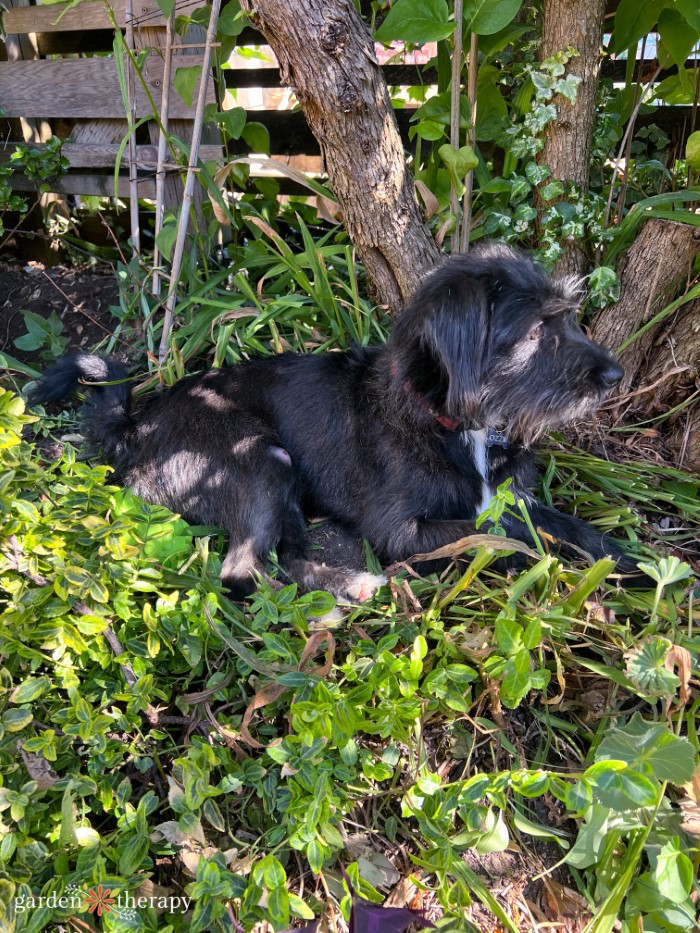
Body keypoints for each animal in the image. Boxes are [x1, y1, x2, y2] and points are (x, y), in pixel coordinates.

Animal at [30, 244, 632, 600]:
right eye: (535, 331)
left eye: (569, 318)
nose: (616, 374)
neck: (457, 423)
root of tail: (137, 428)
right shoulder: (402, 531)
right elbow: (498, 531)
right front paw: (547, 559)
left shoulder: (515, 497)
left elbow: (563, 525)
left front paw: (626, 561)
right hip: (257, 456)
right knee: (240, 573)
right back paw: (347, 592)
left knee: (286, 555)